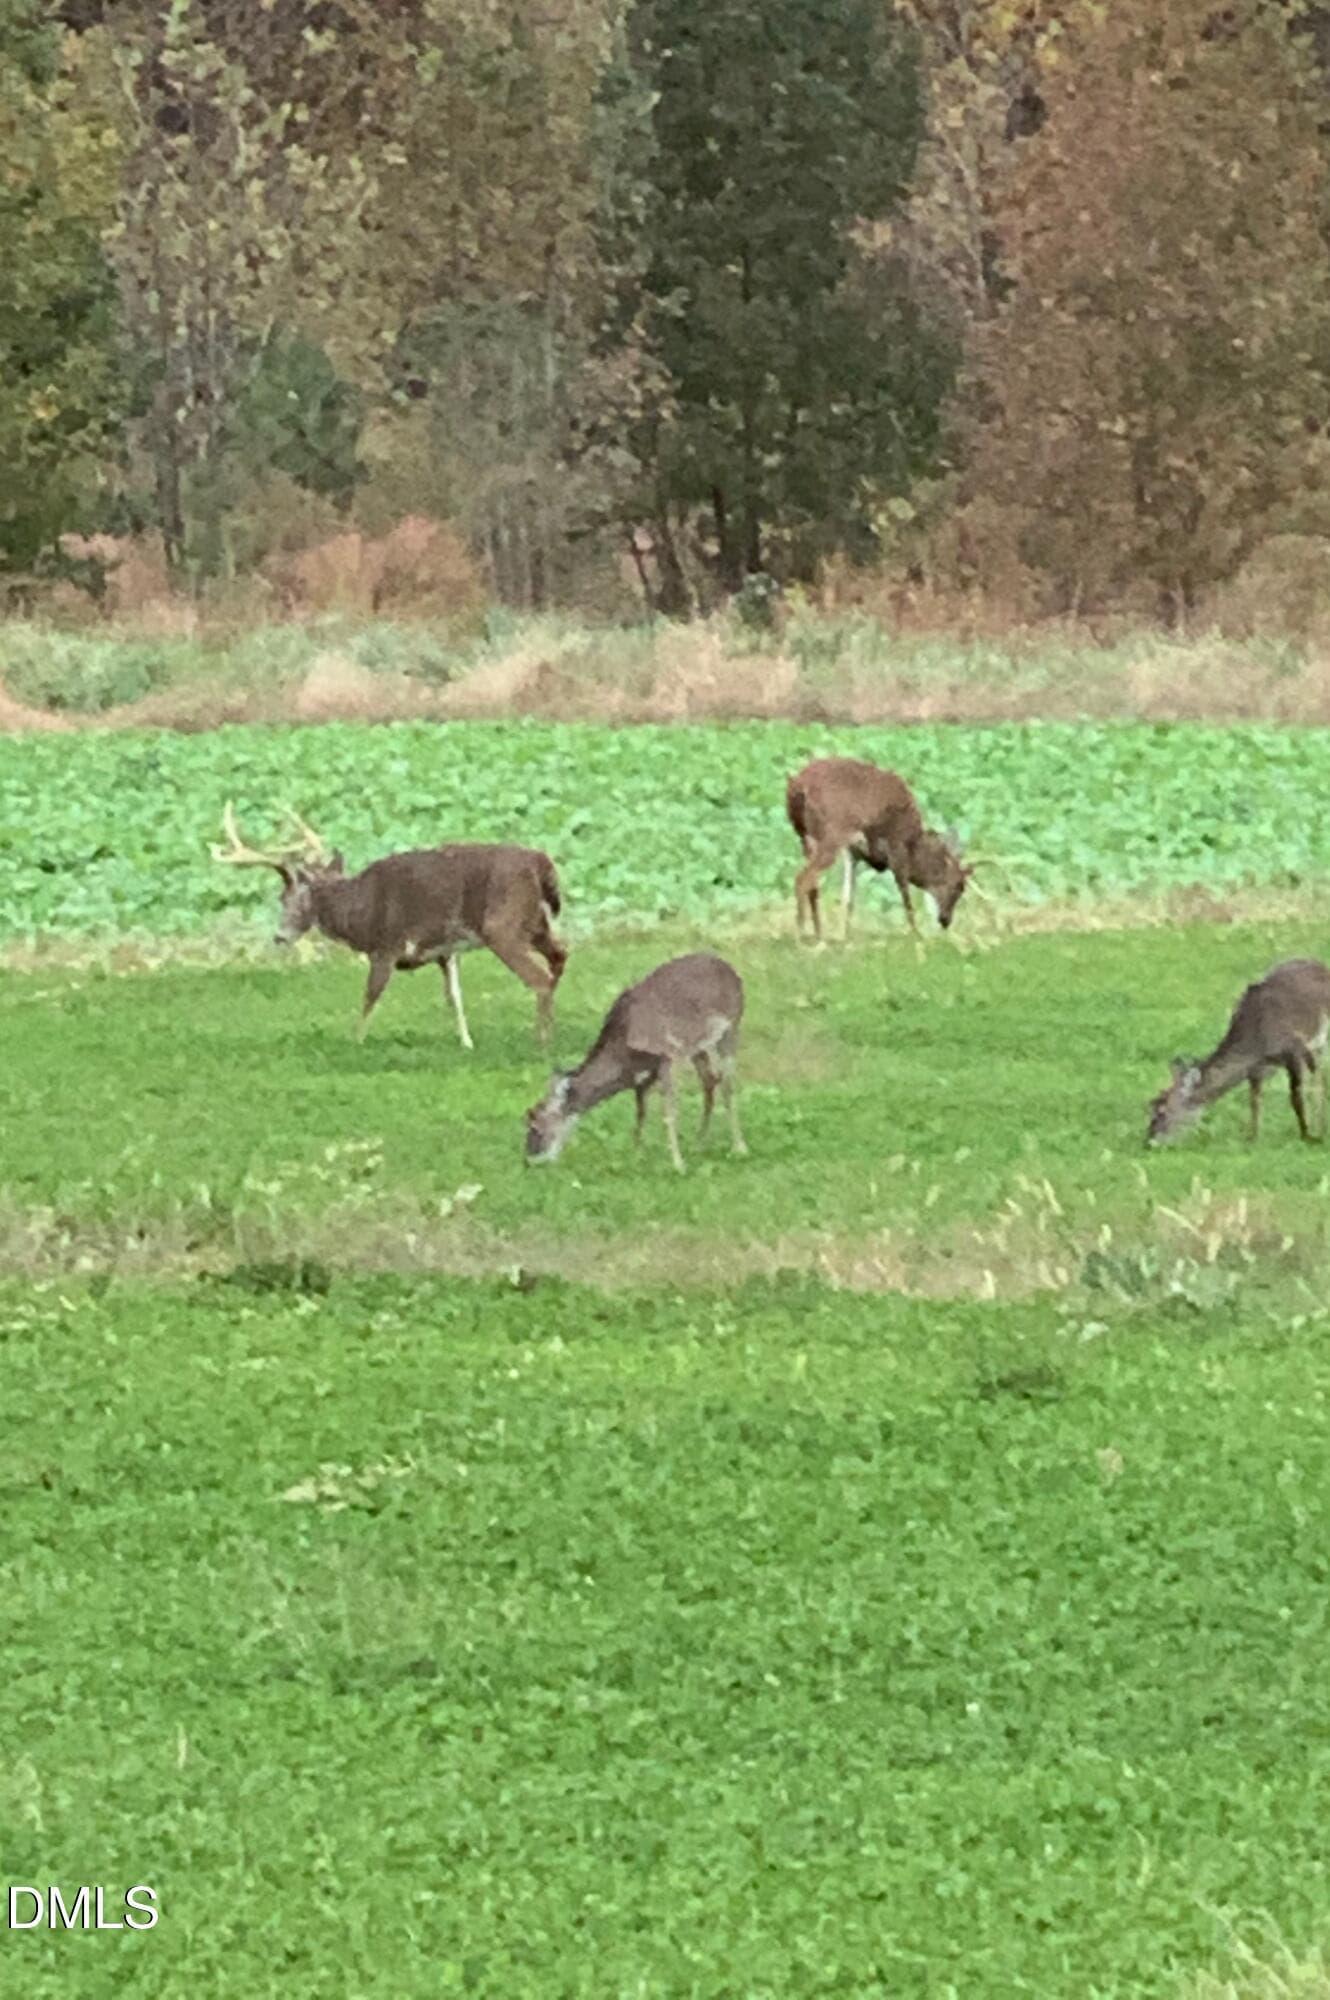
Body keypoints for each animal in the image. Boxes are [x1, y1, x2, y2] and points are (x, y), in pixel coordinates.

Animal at [213, 804, 567, 1048]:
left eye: (284, 897)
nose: (279, 937)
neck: (359, 911)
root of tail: (542, 863)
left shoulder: (386, 945)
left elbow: (370, 996)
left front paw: (355, 1040)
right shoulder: (445, 949)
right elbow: (454, 996)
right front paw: (466, 1043)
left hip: (502, 926)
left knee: (540, 978)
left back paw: (541, 1040)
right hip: (536, 923)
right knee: (560, 957)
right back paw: (552, 1030)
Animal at [525, 952, 746, 1174]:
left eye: (536, 1127)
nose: (529, 1160)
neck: (624, 1053)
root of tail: (732, 971)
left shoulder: (667, 1056)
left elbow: (669, 1112)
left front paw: (678, 1164)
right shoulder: (644, 1072)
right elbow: (640, 1111)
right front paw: (637, 1155)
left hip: (731, 1028)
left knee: (727, 1085)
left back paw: (738, 1147)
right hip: (698, 1047)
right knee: (710, 1081)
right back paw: (699, 1143)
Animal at [786, 757, 974, 943]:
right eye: (959, 886)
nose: (946, 921)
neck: (913, 843)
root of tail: (798, 786)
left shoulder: (854, 851)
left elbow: (848, 896)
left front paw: (843, 936)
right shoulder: (896, 844)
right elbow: (905, 893)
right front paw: (916, 934)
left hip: (805, 837)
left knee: (812, 884)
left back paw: (818, 934)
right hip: (831, 835)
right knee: (803, 879)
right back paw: (799, 936)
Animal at [1146, 958, 1330, 1145]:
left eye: (1162, 1111)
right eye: (1151, 1106)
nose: (1148, 1143)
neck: (1256, 1044)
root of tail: (1320, 964)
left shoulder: (1293, 1049)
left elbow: (1296, 1096)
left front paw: (1307, 1136)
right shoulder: (1256, 1069)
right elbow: (1254, 1100)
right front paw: (1252, 1137)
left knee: (1320, 1079)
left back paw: (1320, 1129)